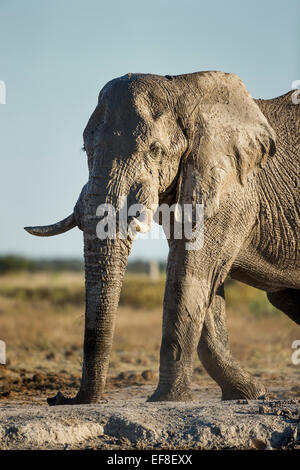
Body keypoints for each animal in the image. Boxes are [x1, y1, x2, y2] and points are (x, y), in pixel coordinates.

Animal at [26, 70, 300, 404]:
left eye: (155, 150)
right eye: (85, 151)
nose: (62, 398)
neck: (182, 88)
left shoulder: (233, 192)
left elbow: (190, 273)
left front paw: (167, 398)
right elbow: (204, 286)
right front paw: (248, 394)